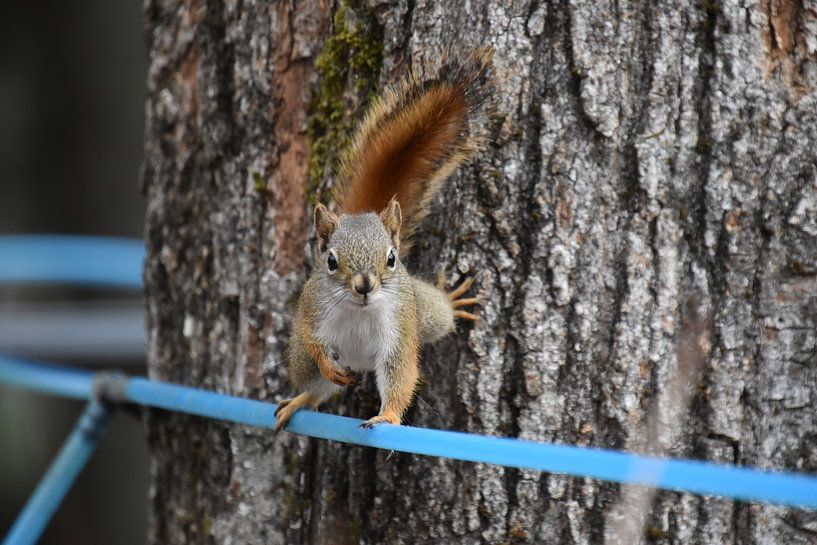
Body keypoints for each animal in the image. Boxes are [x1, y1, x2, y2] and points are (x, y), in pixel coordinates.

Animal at [274, 47, 495, 431]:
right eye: (330, 261)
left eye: (391, 258)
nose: (365, 285)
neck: (359, 310)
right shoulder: (311, 308)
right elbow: (310, 338)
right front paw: (328, 366)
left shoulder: (399, 331)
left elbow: (400, 374)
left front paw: (388, 416)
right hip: (302, 361)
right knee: (315, 384)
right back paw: (301, 399)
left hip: (423, 312)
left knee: (439, 318)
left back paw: (451, 303)